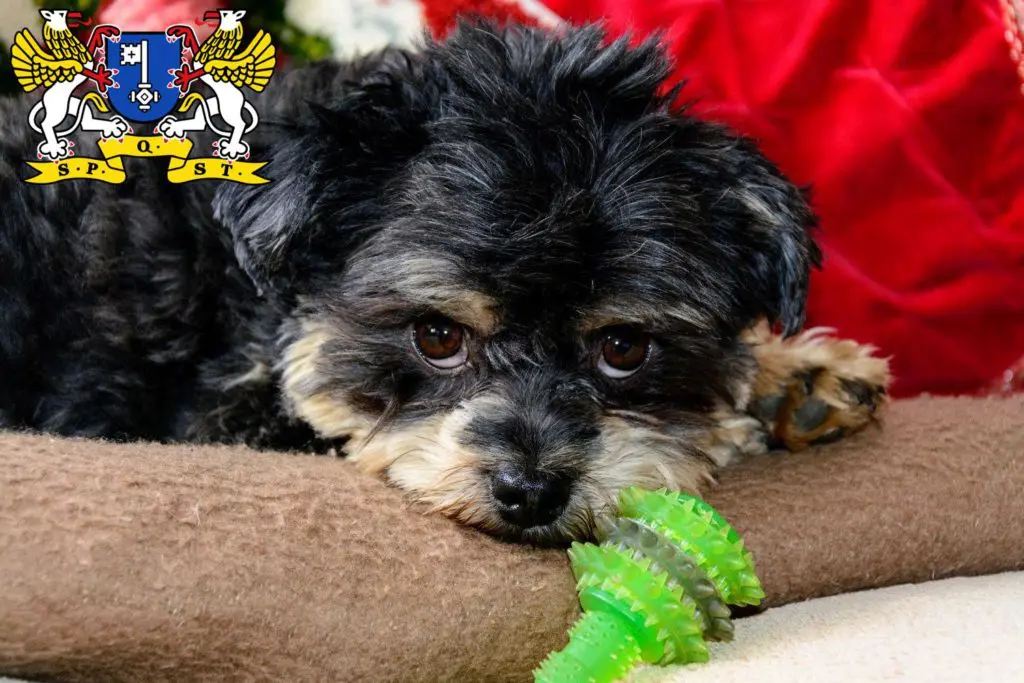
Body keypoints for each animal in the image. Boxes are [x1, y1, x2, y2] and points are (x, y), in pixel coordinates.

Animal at [0, 21, 884, 540]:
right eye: (436, 334)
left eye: (625, 347)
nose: (530, 489)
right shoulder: (219, 417)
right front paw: (751, 407)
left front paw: (798, 374)